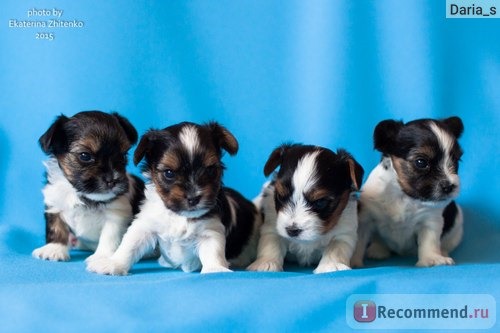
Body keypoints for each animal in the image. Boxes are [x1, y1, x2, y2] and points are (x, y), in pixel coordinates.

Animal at [32, 110, 145, 266]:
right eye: (85, 156)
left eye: (122, 156)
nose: (112, 180)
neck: (79, 194)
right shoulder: (54, 203)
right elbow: (56, 226)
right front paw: (54, 249)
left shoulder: (116, 214)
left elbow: (109, 236)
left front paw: (102, 257)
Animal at [87, 120, 262, 274]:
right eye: (169, 173)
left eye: (210, 170)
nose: (193, 198)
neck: (179, 215)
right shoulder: (146, 224)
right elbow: (130, 244)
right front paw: (113, 264)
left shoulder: (211, 229)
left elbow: (213, 251)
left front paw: (215, 270)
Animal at [247, 144, 362, 274]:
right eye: (280, 196)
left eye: (320, 202)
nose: (292, 230)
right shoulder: (271, 225)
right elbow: (271, 243)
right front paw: (266, 263)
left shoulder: (344, 231)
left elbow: (336, 248)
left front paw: (331, 265)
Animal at [352, 116, 464, 268]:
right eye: (421, 162)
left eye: (456, 160)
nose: (449, 186)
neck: (404, 195)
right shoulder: (366, 218)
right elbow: (359, 241)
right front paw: (352, 261)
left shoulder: (430, 220)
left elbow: (429, 241)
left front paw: (432, 259)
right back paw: (378, 249)